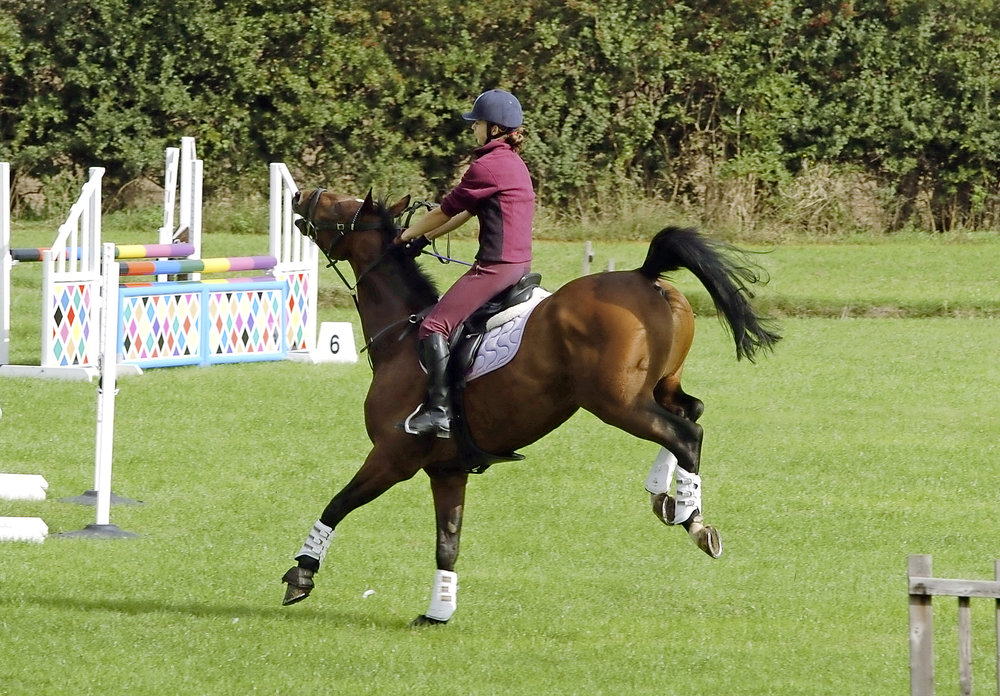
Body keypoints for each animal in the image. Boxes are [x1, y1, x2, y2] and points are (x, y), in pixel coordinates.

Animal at [281, 189, 781, 625]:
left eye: (338, 205)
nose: (299, 195)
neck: (403, 336)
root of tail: (644, 275)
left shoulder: (392, 457)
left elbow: (338, 504)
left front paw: (302, 571)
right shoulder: (447, 470)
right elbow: (448, 543)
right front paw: (439, 611)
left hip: (617, 403)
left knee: (686, 434)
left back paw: (692, 519)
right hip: (657, 389)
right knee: (689, 412)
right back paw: (668, 498)